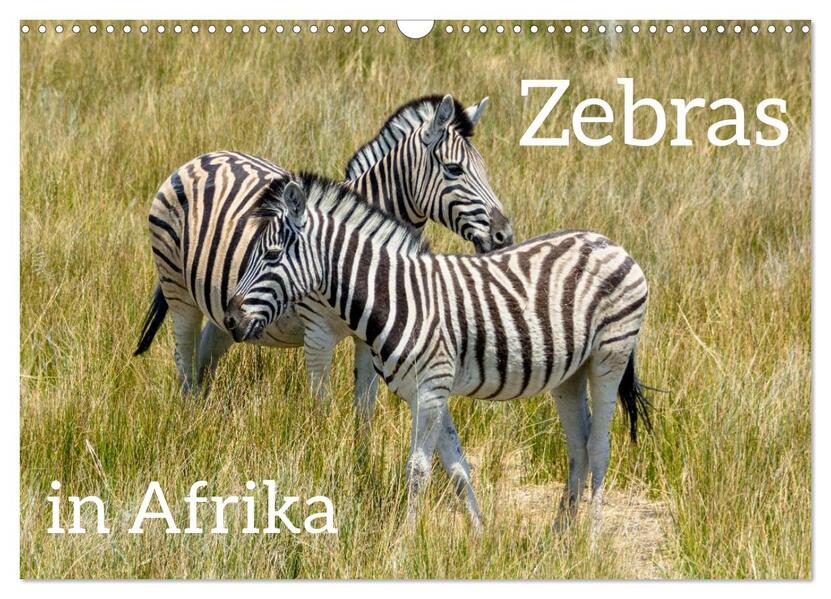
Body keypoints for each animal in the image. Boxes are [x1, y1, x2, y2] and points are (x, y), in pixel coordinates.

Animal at [133, 94, 513, 413]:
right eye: (454, 169)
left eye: (485, 168)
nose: (504, 235)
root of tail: (199, 159)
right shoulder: (317, 335)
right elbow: (321, 410)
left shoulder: (369, 339)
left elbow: (365, 410)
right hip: (178, 290)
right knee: (184, 361)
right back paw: (187, 423)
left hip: (222, 311)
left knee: (203, 361)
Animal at [224, 175, 652, 531]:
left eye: (273, 255)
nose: (230, 319)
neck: (395, 296)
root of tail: (611, 243)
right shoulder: (426, 391)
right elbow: (457, 466)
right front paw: (480, 535)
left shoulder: (431, 388)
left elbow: (418, 470)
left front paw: (404, 541)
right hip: (569, 373)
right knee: (578, 445)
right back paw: (560, 536)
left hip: (609, 355)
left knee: (599, 446)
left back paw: (591, 538)